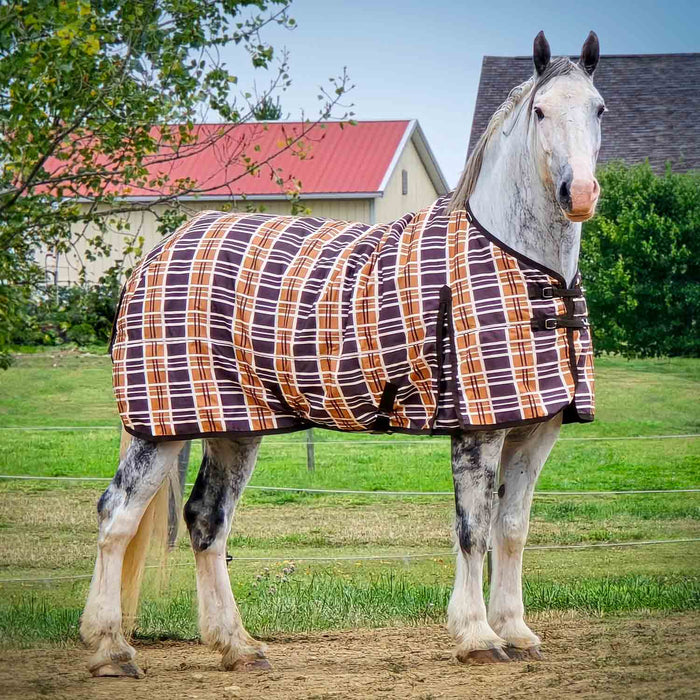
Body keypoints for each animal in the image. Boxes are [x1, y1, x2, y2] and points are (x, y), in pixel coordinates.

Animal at [80, 30, 604, 676]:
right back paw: (110, 647)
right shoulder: (477, 429)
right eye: (540, 111)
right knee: (116, 518)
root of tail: (158, 254)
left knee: (207, 521)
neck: (522, 266)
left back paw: (237, 646)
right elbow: (473, 530)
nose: (580, 193)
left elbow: (512, 529)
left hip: (234, 426)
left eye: (599, 108)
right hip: (161, 429)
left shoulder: (536, 428)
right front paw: (478, 636)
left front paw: (517, 631)